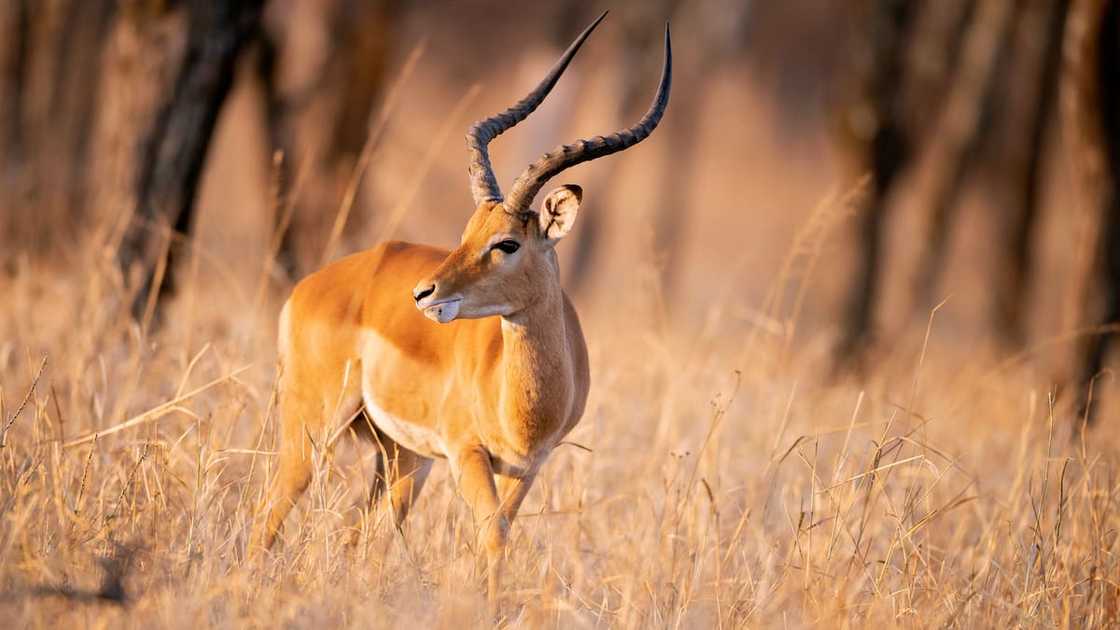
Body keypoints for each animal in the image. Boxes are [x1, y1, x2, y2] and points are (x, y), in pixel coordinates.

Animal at [255, 11, 672, 596]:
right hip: (314, 430)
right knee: (270, 510)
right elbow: (493, 536)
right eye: (467, 232)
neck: (524, 400)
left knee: (359, 532)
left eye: (506, 243)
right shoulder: (467, 453)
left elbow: (498, 534)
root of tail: (315, 283)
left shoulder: (529, 467)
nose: (422, 293)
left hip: (402, 457)